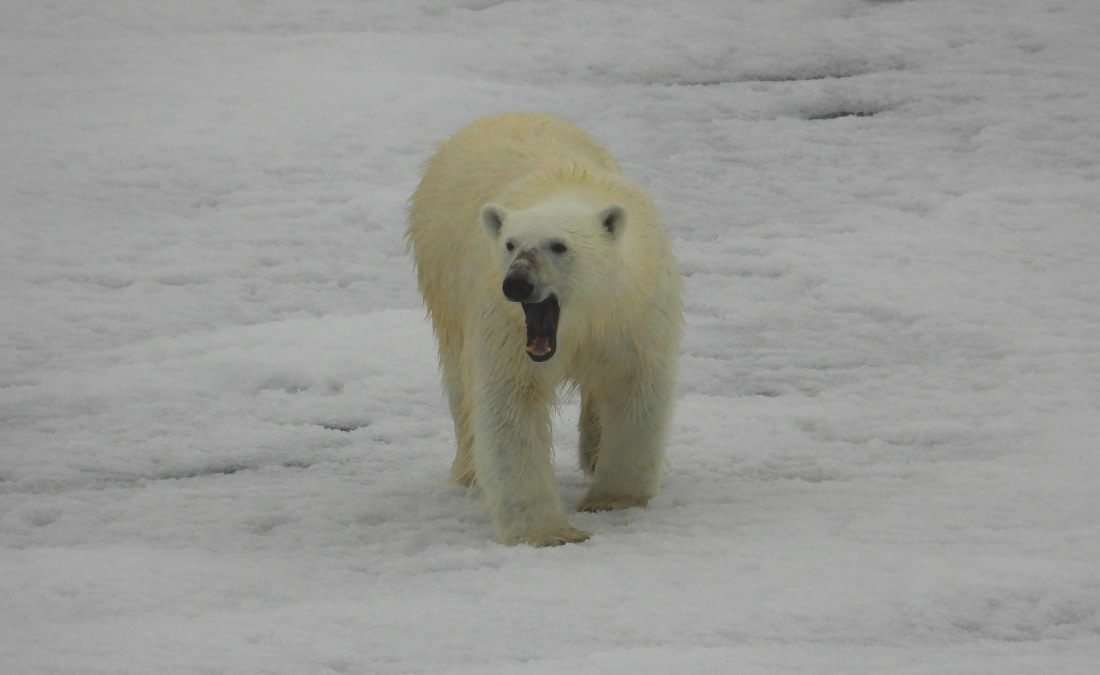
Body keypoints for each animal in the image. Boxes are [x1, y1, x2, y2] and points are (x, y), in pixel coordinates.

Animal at [407, 112, 682, 546]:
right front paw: (548, 532)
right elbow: (511, 403)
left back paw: (593, 451)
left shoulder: (635, 313)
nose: (517, 283)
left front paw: (612, 499)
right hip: (444, 286)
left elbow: (634, 387)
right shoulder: (502, 325)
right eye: (510, 244)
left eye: (559, 246)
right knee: (460, 384)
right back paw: (470, 472)